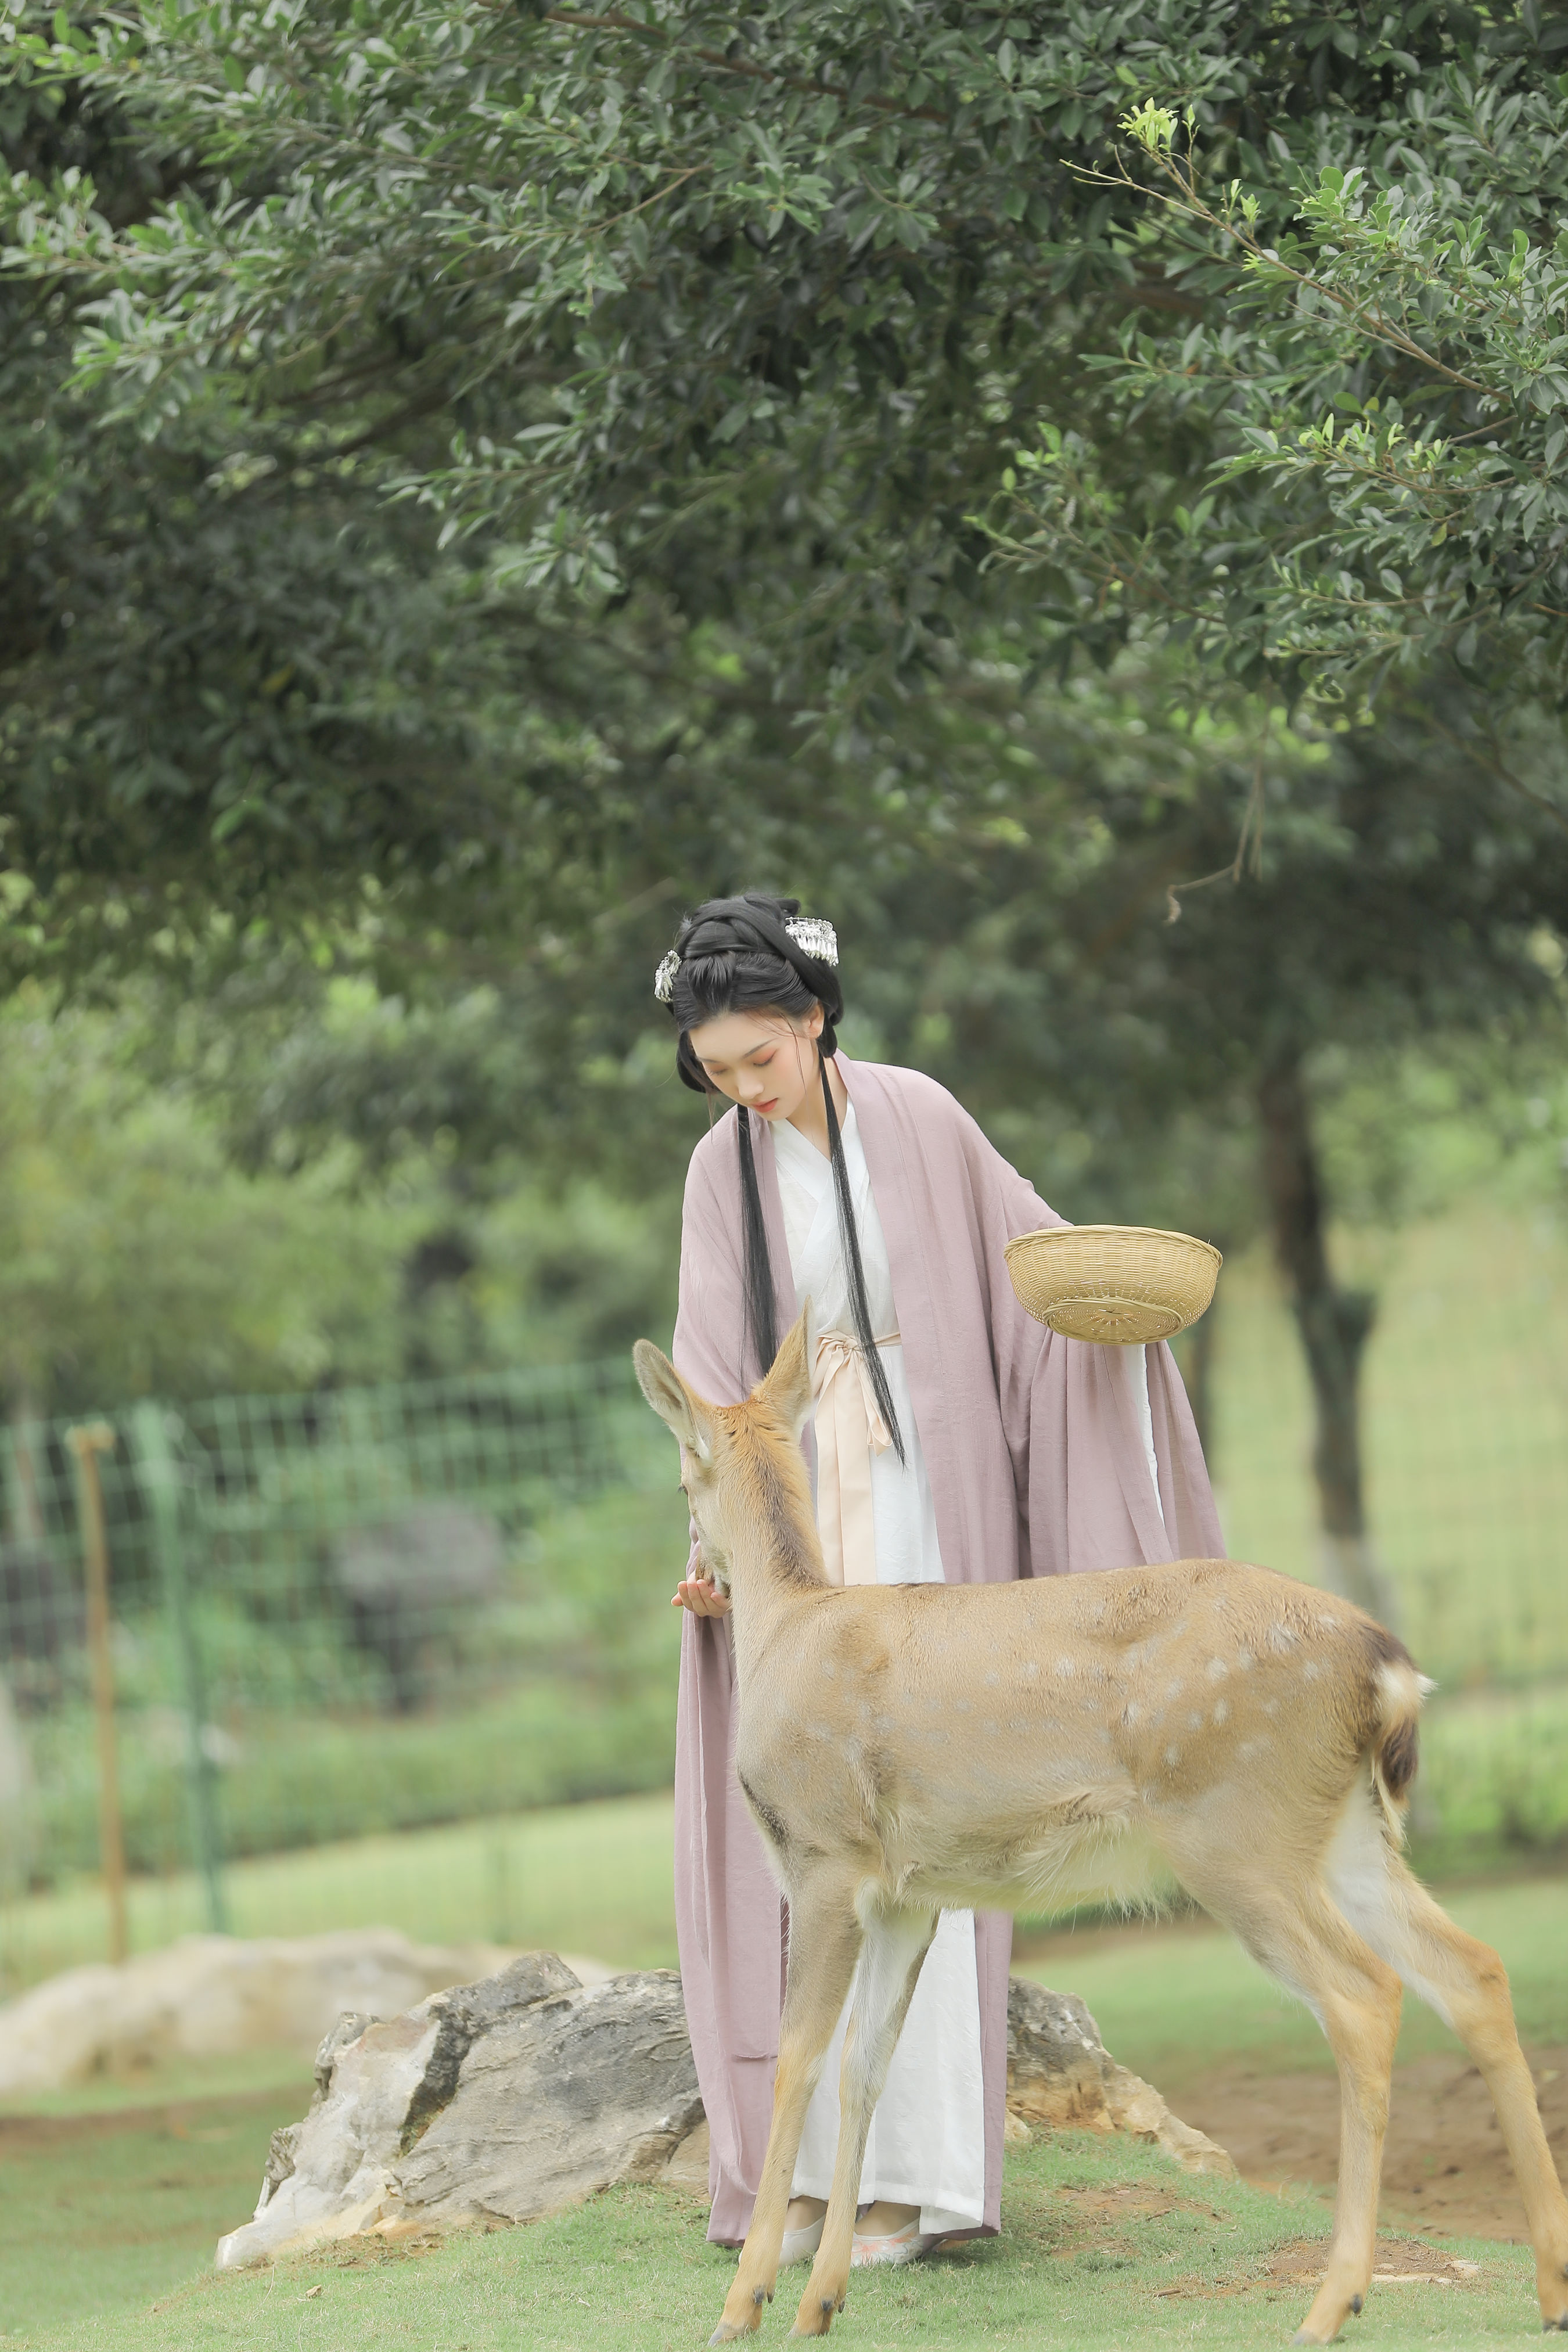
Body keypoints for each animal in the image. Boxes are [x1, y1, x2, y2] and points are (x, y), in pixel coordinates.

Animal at [630, 1317, 1568, 2342]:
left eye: (679, 1482)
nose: (696, 1577)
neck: (788, 1627)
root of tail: (1388, 1668)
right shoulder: (911, 1893)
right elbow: (865, 2065)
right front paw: (822, 2300)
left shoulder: (826, 1852)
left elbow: (796, 2062)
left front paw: (746, 2301)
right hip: (1345, 1831)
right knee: (1472, 1968)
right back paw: (1550, 2287)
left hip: (1237, 1824)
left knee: (1366, 1995)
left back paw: (1333, 2301)